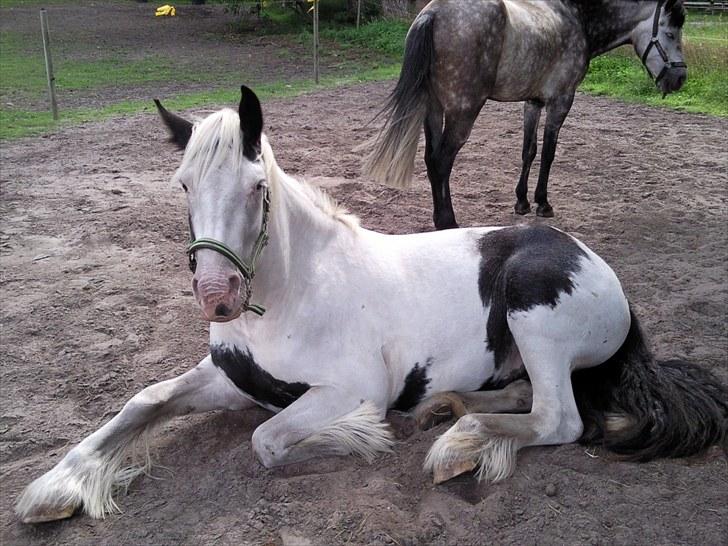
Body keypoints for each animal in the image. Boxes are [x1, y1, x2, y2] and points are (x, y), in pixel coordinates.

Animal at [14, 87, 724, 520]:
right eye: (184, 184)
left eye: (256, 187)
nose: (217, 298)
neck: (292, 297)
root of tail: (595, 264)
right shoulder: (226, 377)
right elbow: (144, 402)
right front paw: (55, 488)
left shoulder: (349, 386)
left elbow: (270, 440)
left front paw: (360, 435)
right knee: (524, 396)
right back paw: (447, 410)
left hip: (533, 310)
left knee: (560, 418)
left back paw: (458, 445)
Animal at [364, 0, 688, 225]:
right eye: (671, 33)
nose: (680, 78)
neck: (575, 16)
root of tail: (432, 13)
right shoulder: (561, 100)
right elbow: (548, 153)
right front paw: (543, 204)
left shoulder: (533, 103)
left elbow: (528, 150)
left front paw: (521, 202)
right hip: (462, 112)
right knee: (442, 163)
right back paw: (448, 223)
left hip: (433, 109)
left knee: (431, 161)